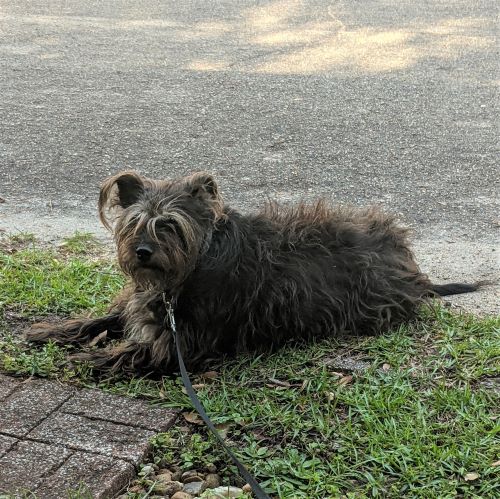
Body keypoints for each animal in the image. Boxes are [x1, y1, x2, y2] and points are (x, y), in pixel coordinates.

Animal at [26, 172, 476, 376]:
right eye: (135, 223)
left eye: (170, 226)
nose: (142, 253)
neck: (193, 265)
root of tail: (412, 269)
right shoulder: (143, 307)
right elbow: (102, 318)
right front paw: (52, 331)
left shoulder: (181, 342)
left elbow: (132, 351)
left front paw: (89, 357)